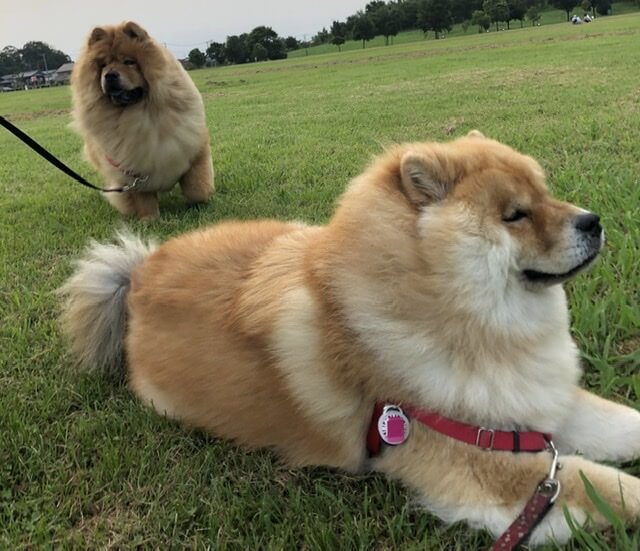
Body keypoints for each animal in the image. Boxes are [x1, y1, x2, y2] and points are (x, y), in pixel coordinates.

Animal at [71, 21, 214, 220]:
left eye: (129, 62)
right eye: (103, 65)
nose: (109, 75)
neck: (141, 116)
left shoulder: (194, 152)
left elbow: (197, 187)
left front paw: (200, 205)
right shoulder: (133, 170)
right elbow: (144, 200)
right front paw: (150, 220)